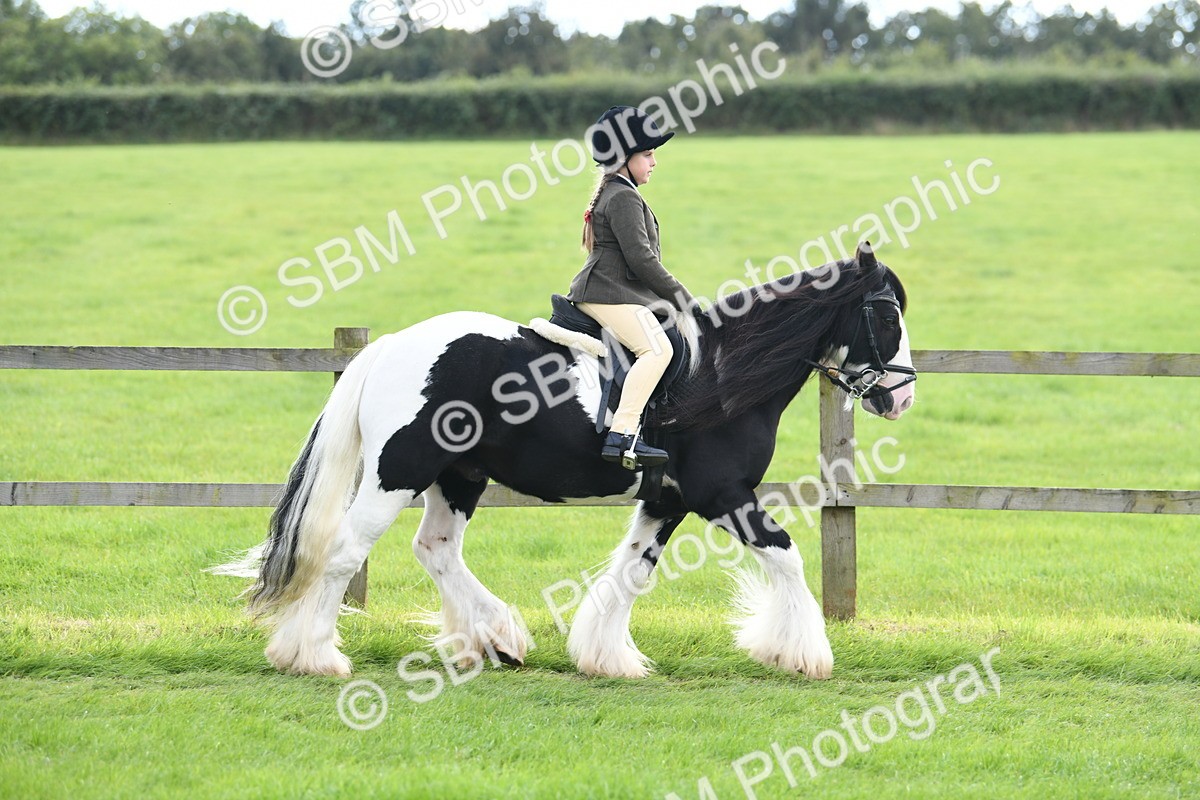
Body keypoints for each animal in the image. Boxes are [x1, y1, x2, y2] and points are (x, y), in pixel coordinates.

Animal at [216, 242, 916, 681]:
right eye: (886, 313)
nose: (901, 395)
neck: (718, 374)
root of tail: (392, 346)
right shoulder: (720, 493)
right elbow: (787, 555)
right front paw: (801, 655)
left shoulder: (666, 500)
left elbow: (633, 572)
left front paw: (607, 658)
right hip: (399, 474)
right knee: (343, 553)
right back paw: (316, 656)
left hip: (460, 476)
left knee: (436, 550)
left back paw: (495, 637)